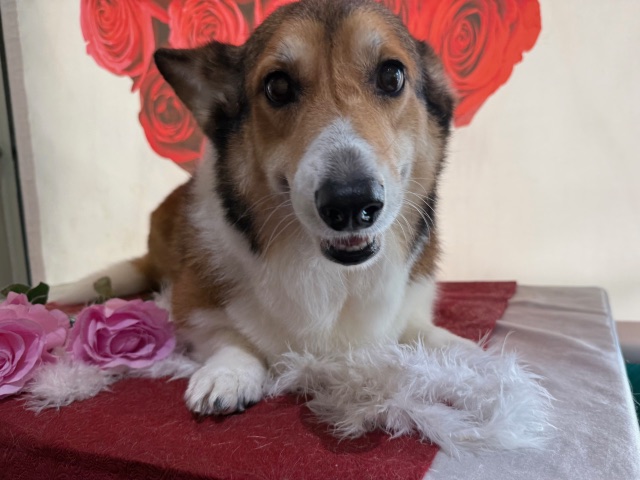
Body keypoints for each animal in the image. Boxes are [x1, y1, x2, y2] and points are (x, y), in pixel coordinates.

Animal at [51, 0, 476, 416]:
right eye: (278, 86)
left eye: (392, 76)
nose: (351, 202)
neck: (335, 274)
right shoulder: (192, 307)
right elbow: (232, 337)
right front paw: (227, 375)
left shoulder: (412, 302)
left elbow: (424, 332)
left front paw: (469, 359)